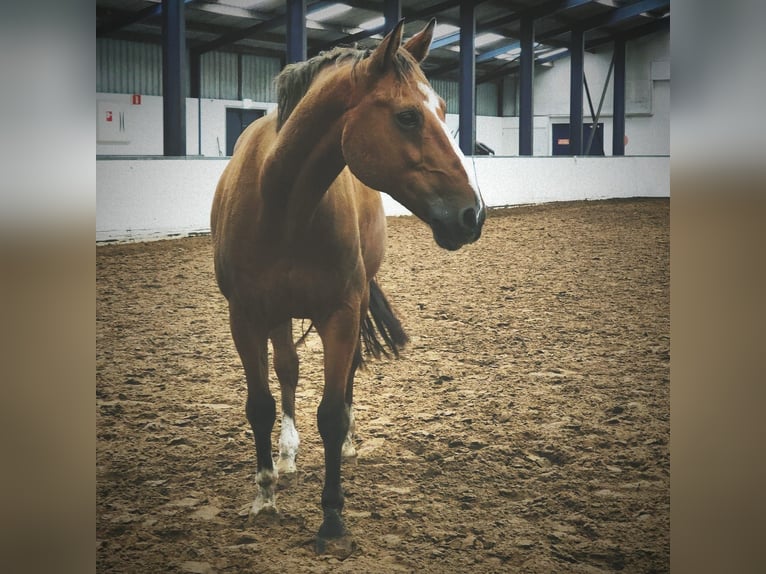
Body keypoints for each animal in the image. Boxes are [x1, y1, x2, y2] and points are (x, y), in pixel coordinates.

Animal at [210, 18, 485, 554]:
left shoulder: (340, 312)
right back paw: (286, 455)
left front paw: (332, 518)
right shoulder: (245, 317)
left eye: (444, 111)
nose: (473, 214)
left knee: (346, 373)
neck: (281, 204)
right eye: (407, 117)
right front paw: (264, 494)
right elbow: (260, 404)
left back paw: (348, 442)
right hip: (277, 315)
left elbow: (332, 412)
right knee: (287, 368)